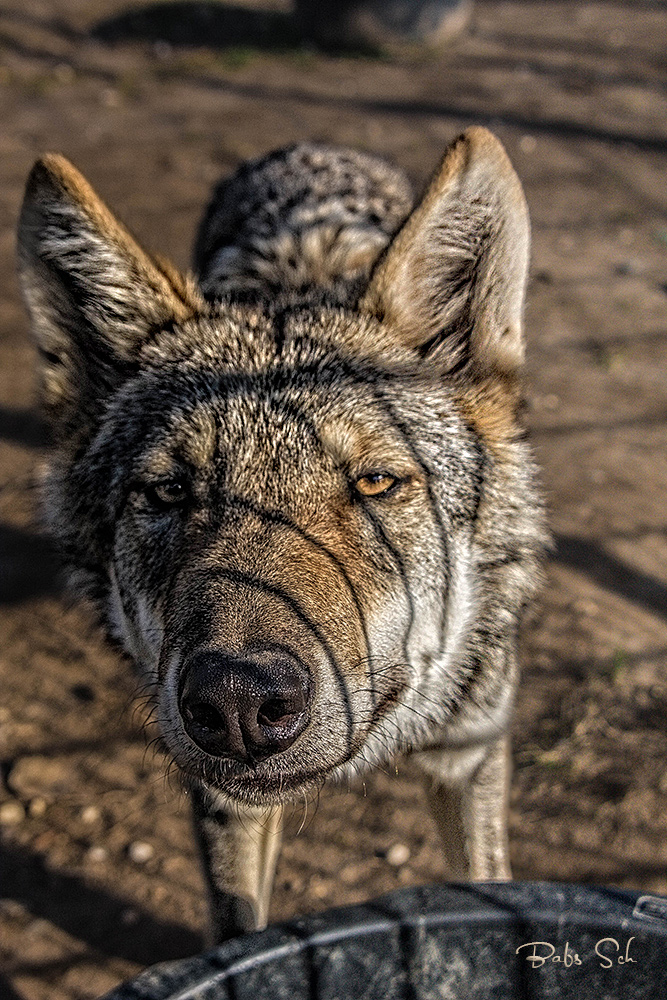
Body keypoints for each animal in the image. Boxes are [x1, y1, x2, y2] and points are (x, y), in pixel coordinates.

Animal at [17, 129, 548, 940]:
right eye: (169, 492)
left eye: (374, 483)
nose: (237, 703)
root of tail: (314, 146)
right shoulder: (222, 803)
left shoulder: (467, 761)